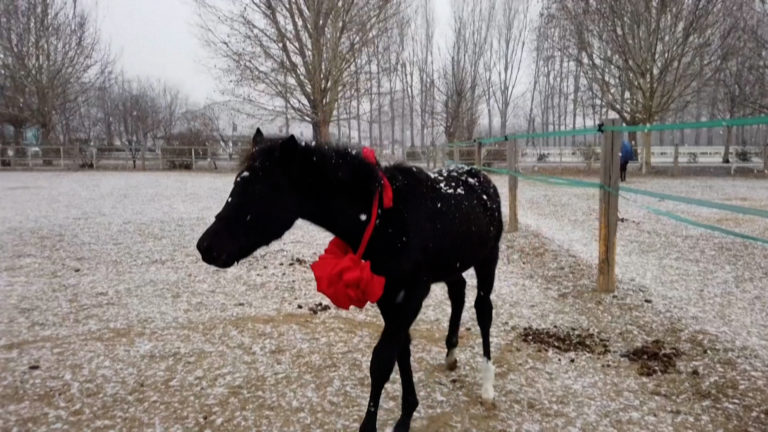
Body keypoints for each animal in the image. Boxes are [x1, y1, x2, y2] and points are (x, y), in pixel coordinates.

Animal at [196, 129, 504, 432]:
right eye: (236, 184)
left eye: (261, 191)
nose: (206, 246)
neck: (385, 220)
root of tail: (482, 179)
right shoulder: (388, 295)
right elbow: (401, 351)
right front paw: (406, 414)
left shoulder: (412, 294)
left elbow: (382, 361)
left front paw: (375, 425)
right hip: (452, 264)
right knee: (458, 292)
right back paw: (451, 354)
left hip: (488, 259)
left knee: (483, 310)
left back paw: (488, 387)